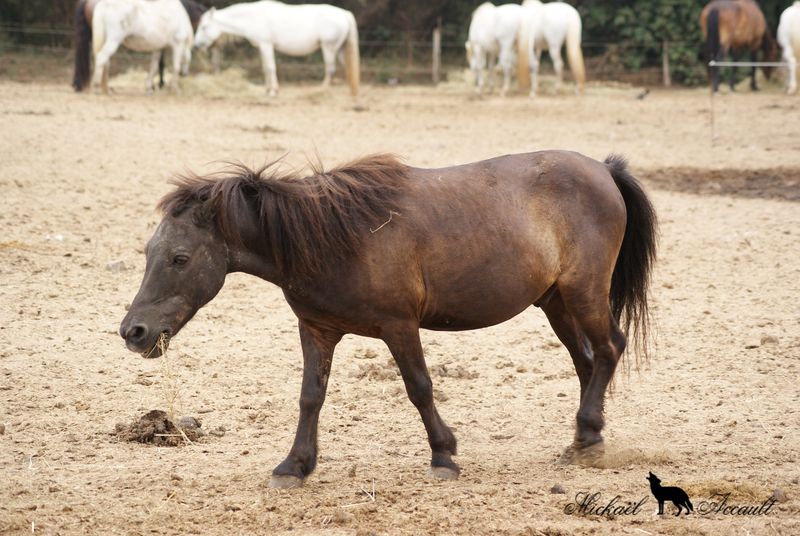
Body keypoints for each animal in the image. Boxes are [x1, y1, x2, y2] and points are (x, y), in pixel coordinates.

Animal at [119, 152, 656, 490]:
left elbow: (419, 388)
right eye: (149, 252)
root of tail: (604, 170)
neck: (335, 236)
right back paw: (585, 441)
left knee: (608, 349)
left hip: (583, 293)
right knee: (587, 363)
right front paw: (295, 466)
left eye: (181, 258)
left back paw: (587, 435)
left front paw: (444, 455)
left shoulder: (400, 327)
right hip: (557, 303)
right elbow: (310, 397)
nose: (133, 332)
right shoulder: (317, 330)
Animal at [194, 1, 360, 97]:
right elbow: (265, 68)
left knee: (330, 69)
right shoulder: (262, 47)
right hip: (340, 49)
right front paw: (268, 90)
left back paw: (321, 90)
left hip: (329, 47)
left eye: (204, 27)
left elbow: (270, 67)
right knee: (346, 68)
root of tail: (344, 13)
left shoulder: (266, 45)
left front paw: (273, 91)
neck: (252, 17)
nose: (195, 45)